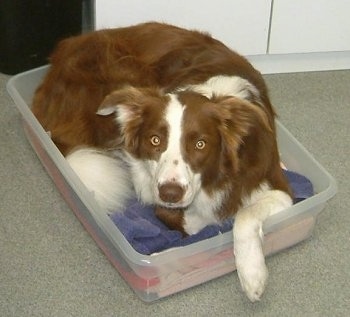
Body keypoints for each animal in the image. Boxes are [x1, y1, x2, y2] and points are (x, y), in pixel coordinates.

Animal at [32, 22, 292, 302]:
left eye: (200, 144)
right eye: (155, 140)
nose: (170, 193)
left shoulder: (278, 187)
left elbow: (244, 214)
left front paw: (252, 275)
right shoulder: (150, 183)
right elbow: (194, 221)